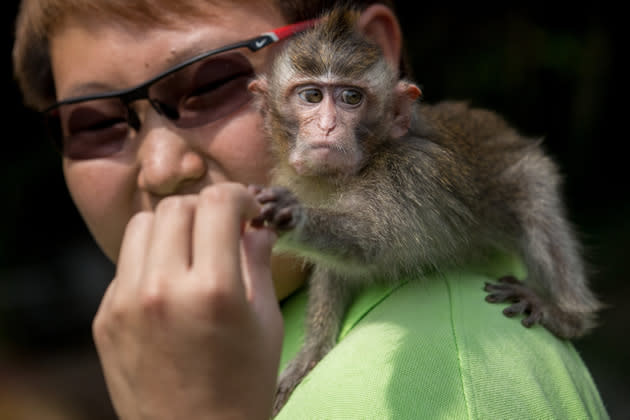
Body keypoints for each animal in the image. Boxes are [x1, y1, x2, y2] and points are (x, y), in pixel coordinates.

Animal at [247, 7, 604, 416]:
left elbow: (367, 242)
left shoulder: (406, 174)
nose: (327, 125)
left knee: (536, 209)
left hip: (526, 169)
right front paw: (312, 353)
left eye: (352, 97)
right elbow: (338, 265)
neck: (363, 164)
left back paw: (567, 315)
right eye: (311, 95)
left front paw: (292, 217)